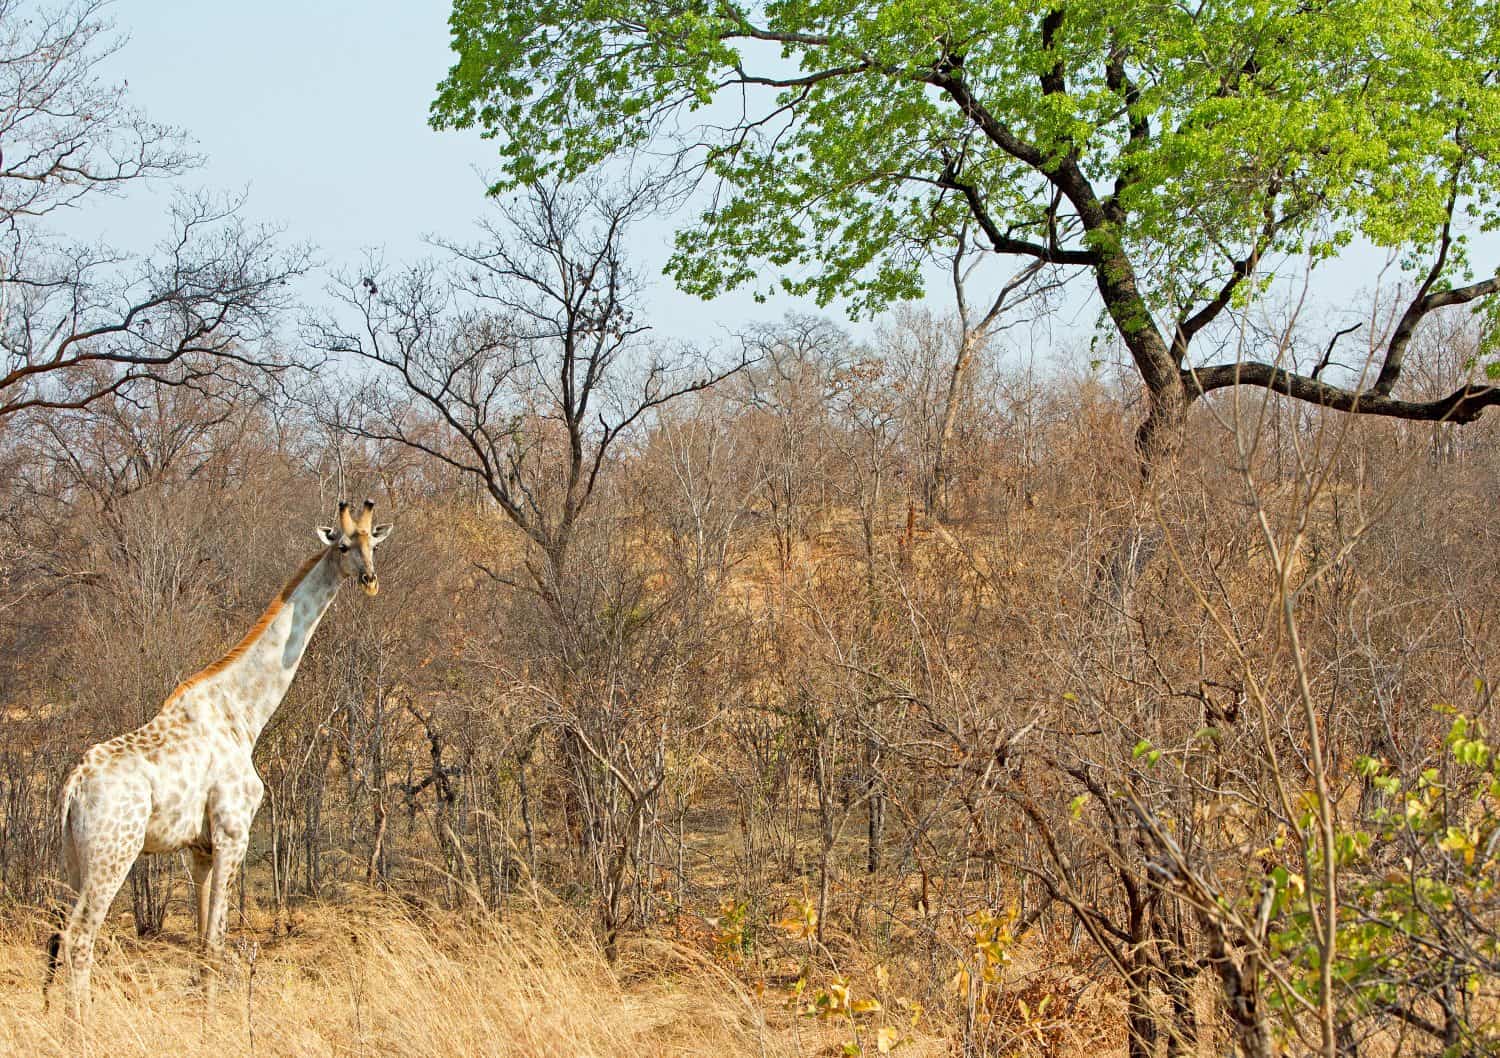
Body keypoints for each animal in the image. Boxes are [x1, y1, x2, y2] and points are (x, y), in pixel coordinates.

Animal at [44, 499, 392, 1020]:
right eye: (344, 546)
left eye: (373, 542)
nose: (369, 580)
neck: (243, 712)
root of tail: (73, 786)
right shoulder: (234, 832)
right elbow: (218, 940)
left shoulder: (200, 848)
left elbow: (202, 942)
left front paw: (205, 1018)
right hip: (114, 852)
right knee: (79, 937)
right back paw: (83, 1026)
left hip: (73, 857)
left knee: (57, 936)